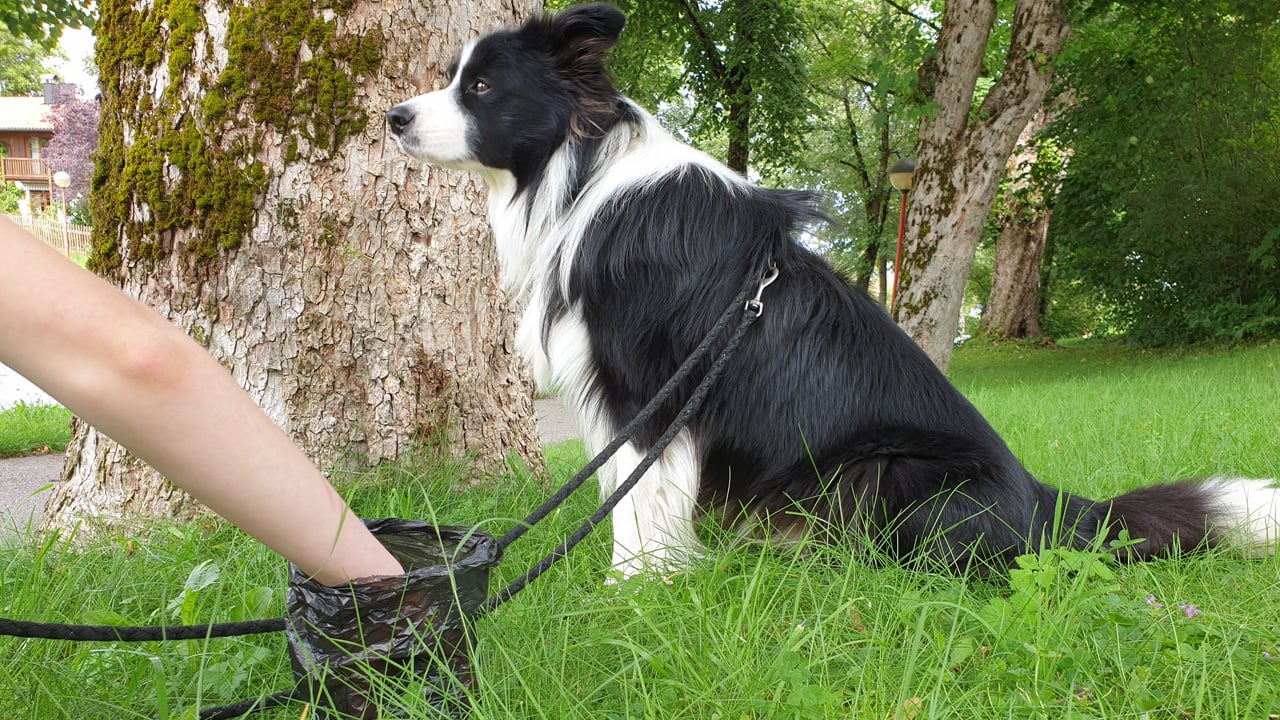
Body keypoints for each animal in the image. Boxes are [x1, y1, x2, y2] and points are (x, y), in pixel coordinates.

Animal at [389, 2, 1280, 573]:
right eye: (453, 78)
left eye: (482, 88)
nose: (394, 116)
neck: (580, 173)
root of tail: (1051, 504)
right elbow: (625, 496)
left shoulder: (651, 388)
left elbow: (640, 508)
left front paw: (633, 591)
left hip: (885, 473)